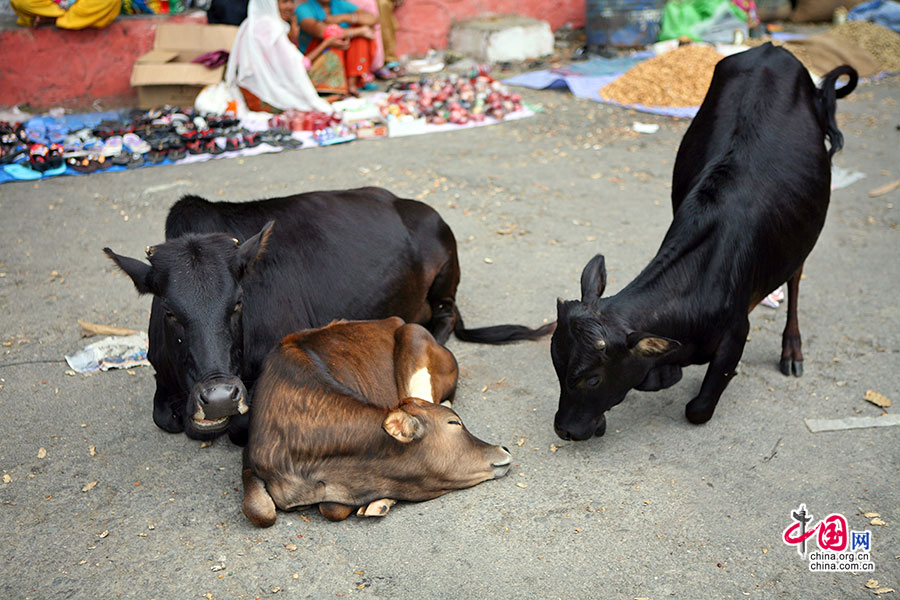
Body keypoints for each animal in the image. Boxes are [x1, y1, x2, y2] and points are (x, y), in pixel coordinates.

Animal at [108, 185, 552, 442]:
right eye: (169, 311)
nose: (217, 398)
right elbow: (163, 417)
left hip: (445, 273)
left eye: (237, 303)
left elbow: (239, 427)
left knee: (446, 317)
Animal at [241, 318, 512, 524]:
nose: (505, 448)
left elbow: (332, 508)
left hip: (415, 340)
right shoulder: (250, 457)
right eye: (454, 423)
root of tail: (395, 321)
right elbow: (259, 510)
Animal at [548, 41, 856, 436]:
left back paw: (792, 350)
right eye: (557, 366)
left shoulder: (737, 332)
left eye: (592, 379)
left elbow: (698, 409)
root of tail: (771, 48)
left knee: (796, 279)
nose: (564, 430)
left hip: (802, 237)